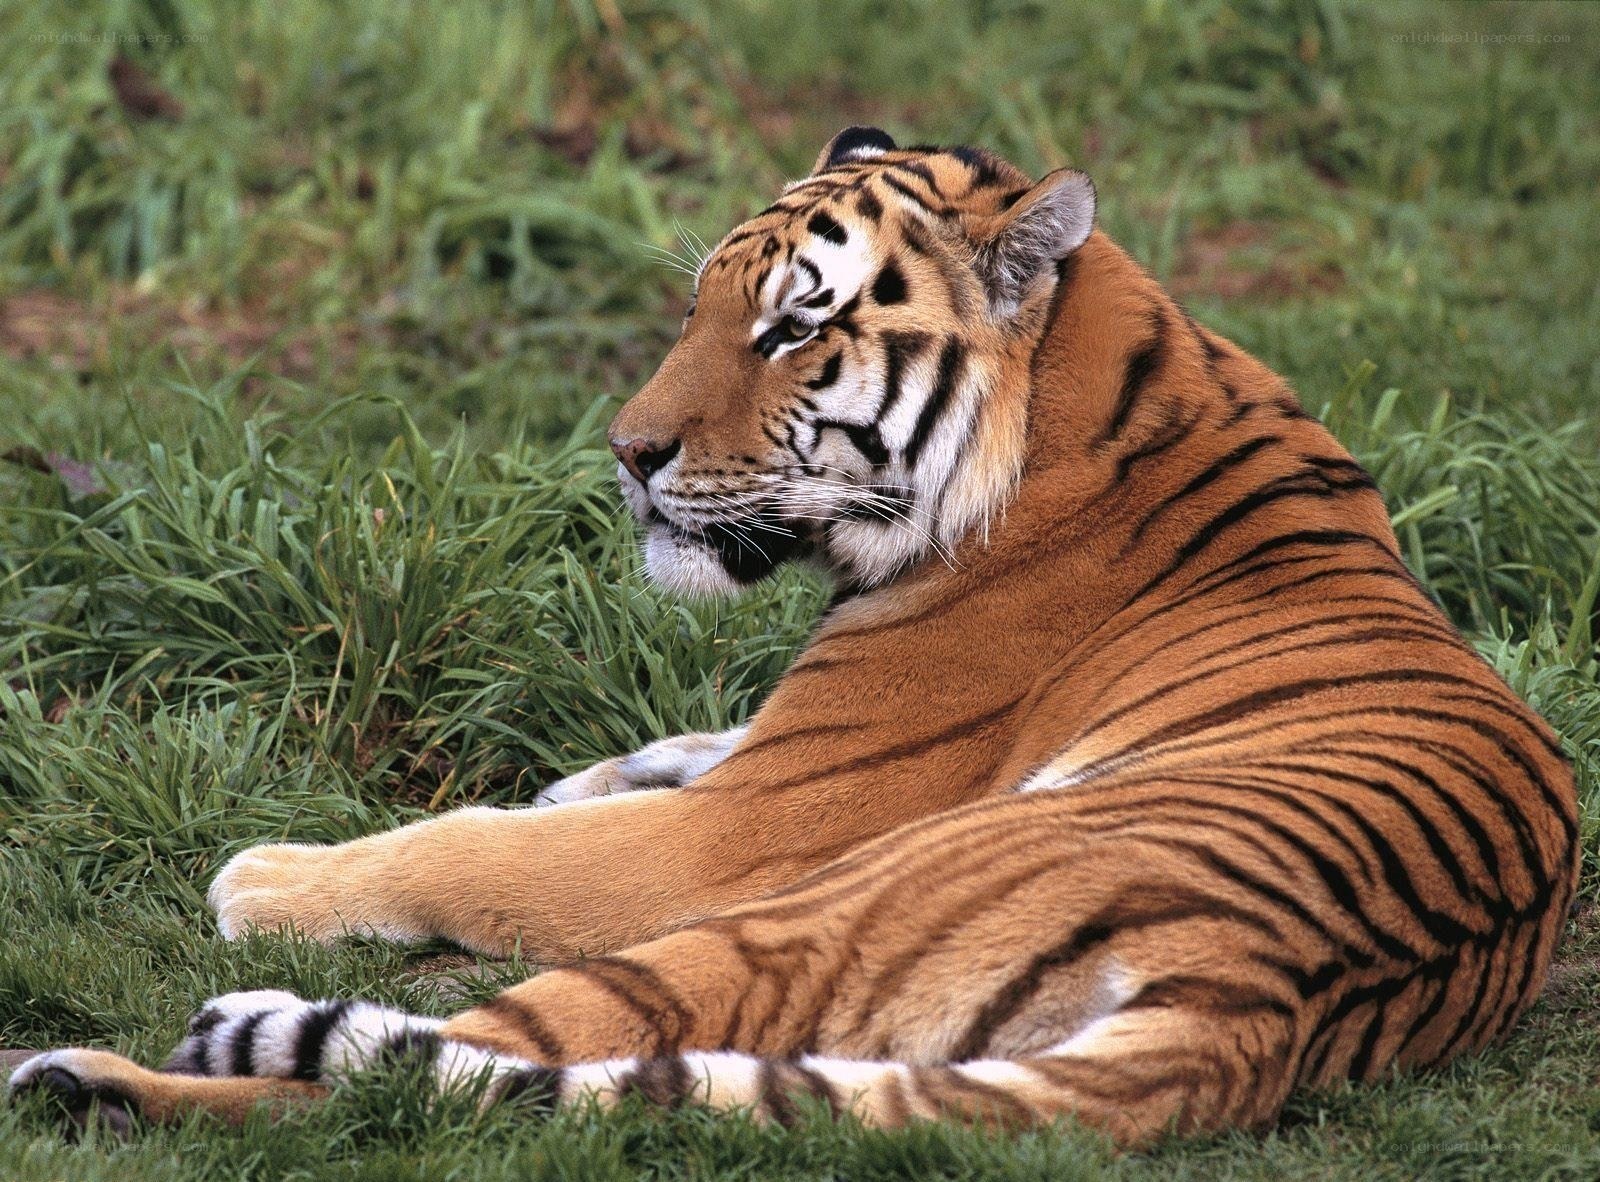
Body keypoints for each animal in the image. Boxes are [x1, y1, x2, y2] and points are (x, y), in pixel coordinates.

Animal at [9, 126, 1578, 1148]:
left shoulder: (746, 831)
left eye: (790, 332)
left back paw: (88, 1076)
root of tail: (1257, 998)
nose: (627, 453)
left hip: (794, 916)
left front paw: (272, 875)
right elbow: (651, 756)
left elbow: (480, 847)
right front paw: (594, 771)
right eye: (702, 304)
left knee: (419, 1083)